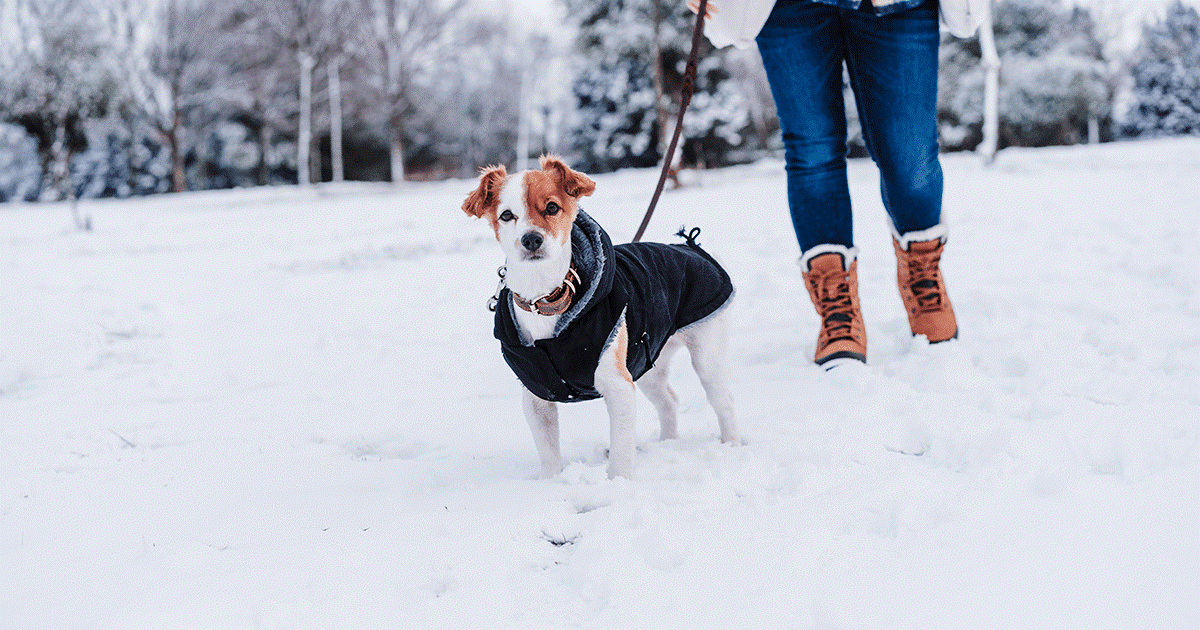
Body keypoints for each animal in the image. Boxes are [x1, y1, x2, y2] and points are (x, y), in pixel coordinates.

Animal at [460, 156, 734, 477]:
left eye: (551, 207)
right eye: (506, 215)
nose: (531, 239)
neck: (546, 298)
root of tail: (692, 248)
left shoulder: (618, 386)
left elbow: (621, 453)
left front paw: (618, 482)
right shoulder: (537, 395)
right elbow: (549, 454)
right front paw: (552, 482)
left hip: (706, 355)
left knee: (723, 401)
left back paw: (732, 445)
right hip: (648, 361)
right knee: (669, 401)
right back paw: (668, 443)